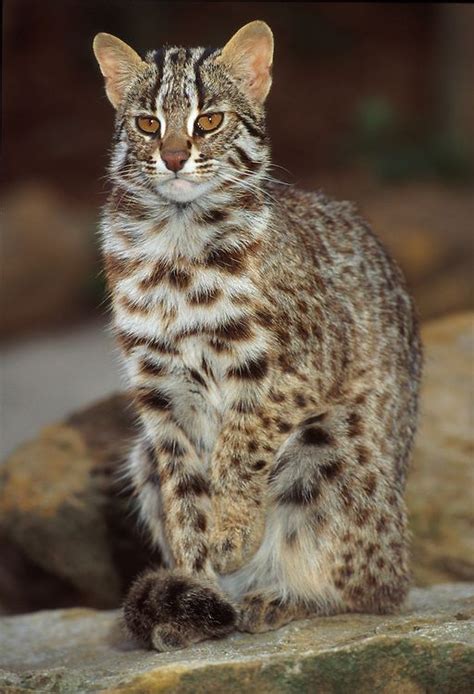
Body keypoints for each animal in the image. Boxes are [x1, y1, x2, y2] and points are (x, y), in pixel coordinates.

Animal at [92, 21, 422, 652]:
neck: (175, 242)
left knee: (375, 590)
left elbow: (239, 446)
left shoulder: (299, 370)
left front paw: (233, 535)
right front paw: (197, 583)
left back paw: (282, 596)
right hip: (140, 452)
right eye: (148, 124)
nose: (174, 157)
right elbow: (185, 497)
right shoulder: (159, 396)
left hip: (330, 438)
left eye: (209, 121)